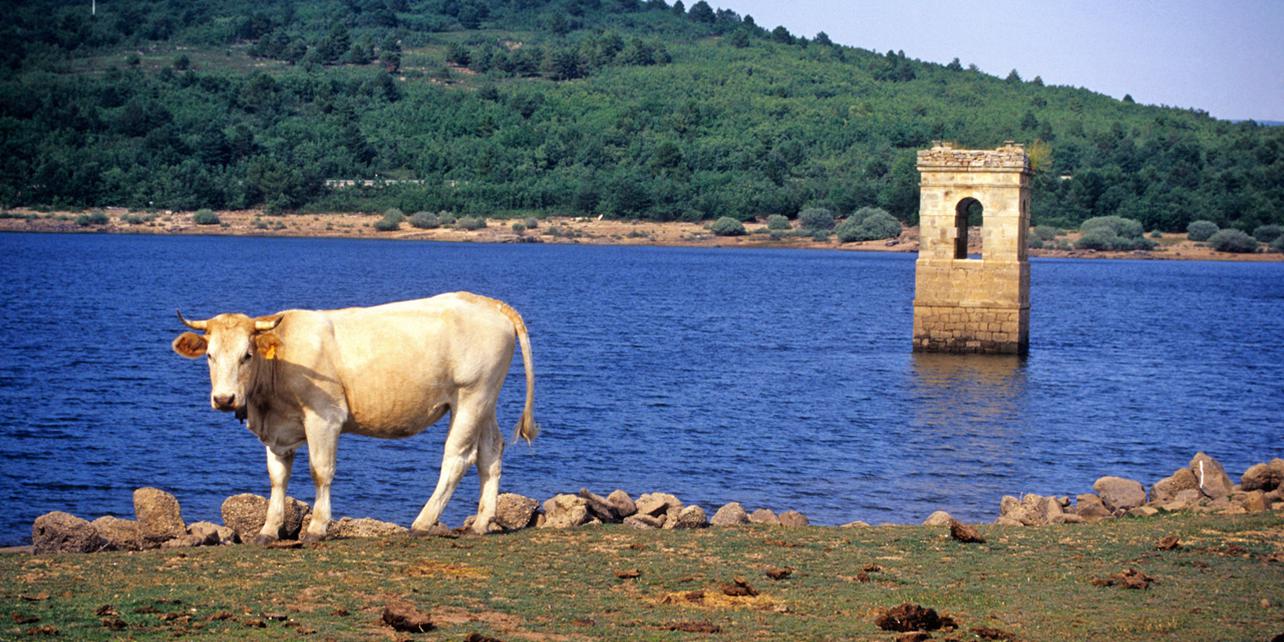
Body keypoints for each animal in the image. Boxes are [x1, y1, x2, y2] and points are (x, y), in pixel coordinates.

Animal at [170, 292, 536, 541]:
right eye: (209, 355)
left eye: (247, 354)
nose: (224, 399)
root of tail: (486, 302)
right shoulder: (278, 431)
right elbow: (277, 478)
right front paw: (269, 529)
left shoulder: (325, 417)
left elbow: (320, 471)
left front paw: (317, 527)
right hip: (486, 400)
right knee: (490, 452)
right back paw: (481, 523)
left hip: (470, 396)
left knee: (457, 457)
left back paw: (422, 522)